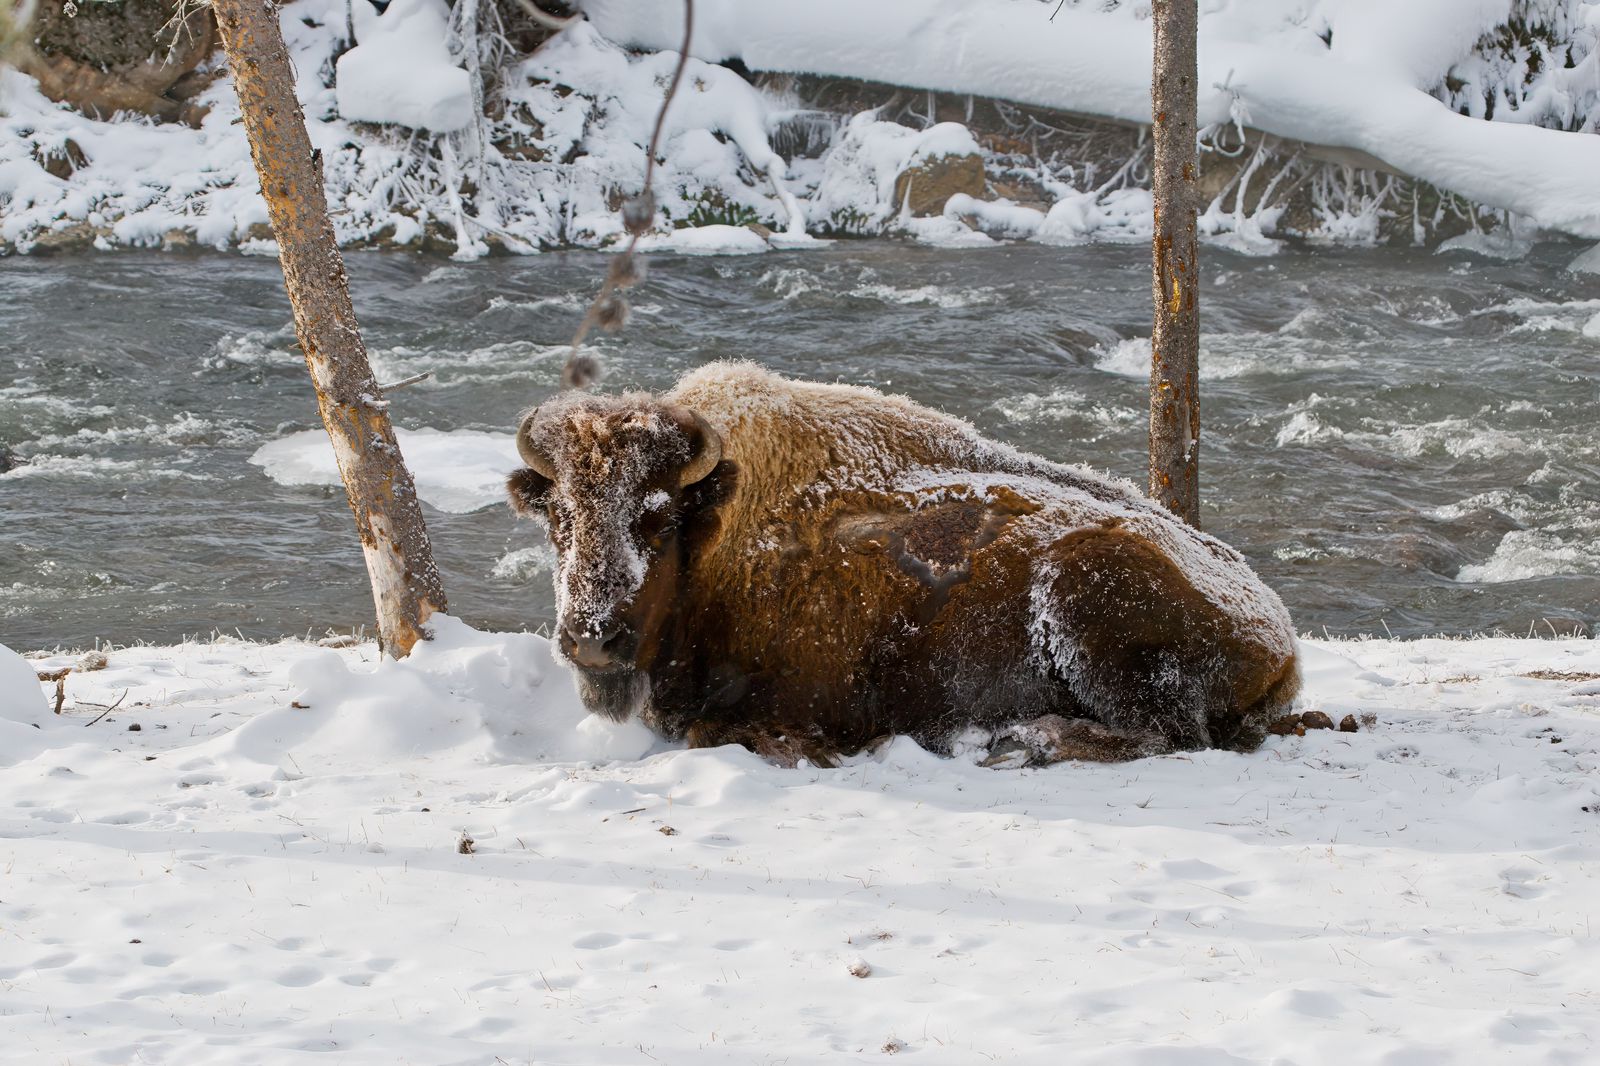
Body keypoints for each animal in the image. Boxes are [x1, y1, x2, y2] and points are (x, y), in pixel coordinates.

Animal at [508, 362, 1299, 766]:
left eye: (658, 517)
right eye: (558, 519)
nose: (591, 640)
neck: (715, 534)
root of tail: (1282, 637)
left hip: (1080, 592)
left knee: (1168, 733)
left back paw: (1023, 740)